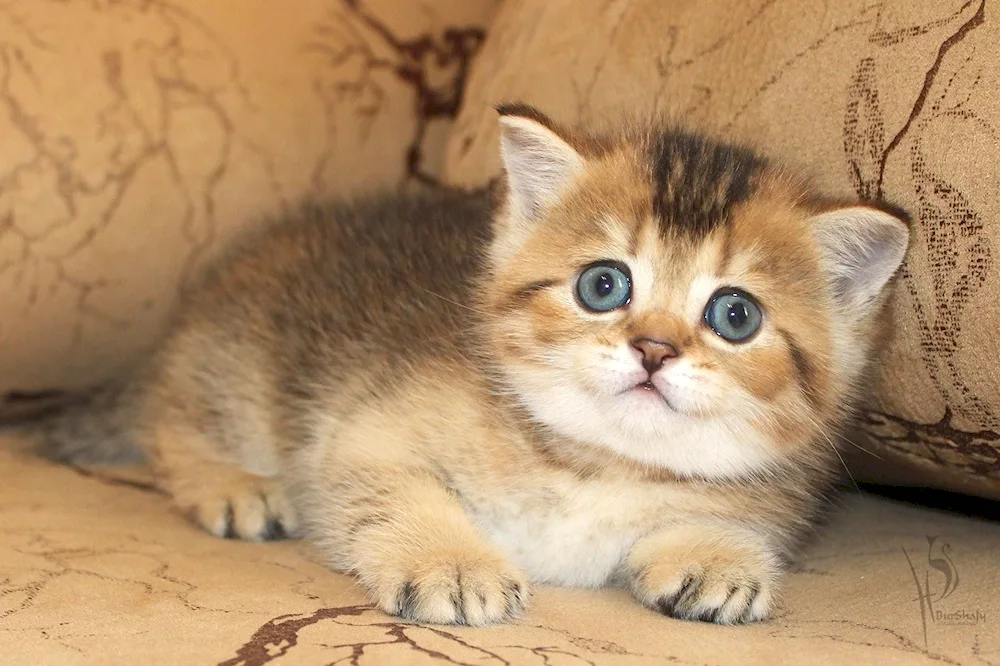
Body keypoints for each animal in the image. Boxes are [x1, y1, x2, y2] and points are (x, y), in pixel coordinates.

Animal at [43, 104, 912, 624]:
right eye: (604, 285)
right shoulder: (359, 433)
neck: (593, 465)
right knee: (171, 427)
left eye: (735, 316)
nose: (654, 350)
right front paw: (452, 561)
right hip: (240, 369)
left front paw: (717, 555)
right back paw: (233, 483)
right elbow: (393, 492)